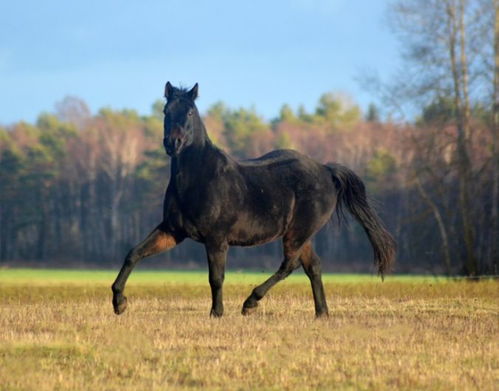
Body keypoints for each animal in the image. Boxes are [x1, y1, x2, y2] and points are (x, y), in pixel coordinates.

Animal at [111, 82, 396, 318]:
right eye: (165, 110)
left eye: (190, 112)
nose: (173, 143)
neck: (198, 178)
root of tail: (326, 170)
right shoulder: (173, 231)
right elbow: (134, 254)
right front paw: (119, 302)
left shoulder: (216, 238)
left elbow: (216, 277)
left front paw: (217, 312)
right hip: (301, 234)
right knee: (312, 266)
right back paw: (321, 313)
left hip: (297, 232)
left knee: (289, 265)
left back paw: (250, 303)